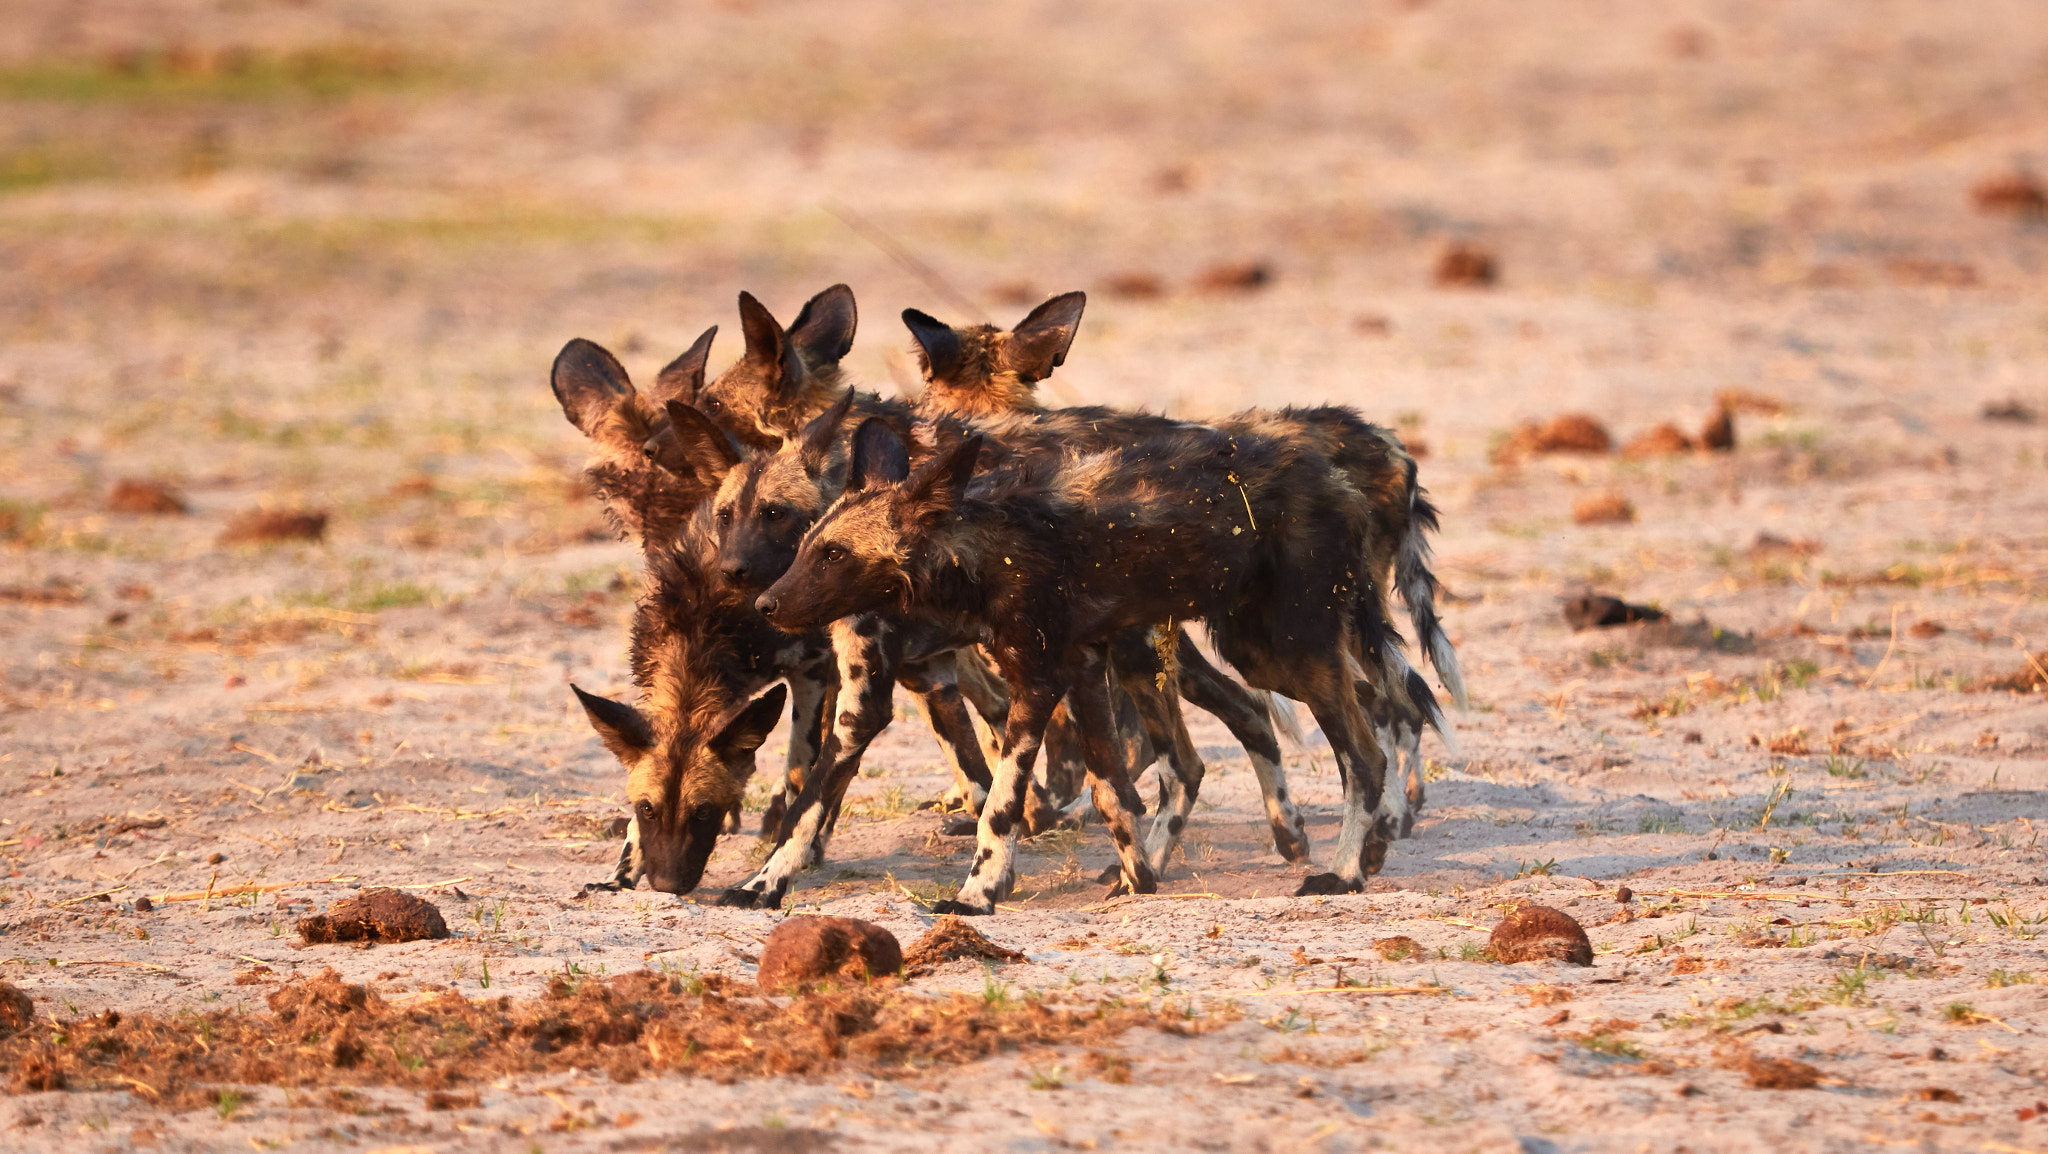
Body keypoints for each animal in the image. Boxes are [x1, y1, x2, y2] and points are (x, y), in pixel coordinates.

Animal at [761, 420, 1417, 918]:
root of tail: (1339, 479)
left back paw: (1345, 874)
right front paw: (1138, 879)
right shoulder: (1079, 670)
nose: (765, 604)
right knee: (1356, 714)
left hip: (1290, 651)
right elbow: (1111, 793)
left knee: (1366, 752)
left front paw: (977, 895)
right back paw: (1354, 846)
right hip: (1253, 654)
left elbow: (1001, 805)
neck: (983, 554)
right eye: (806, 546)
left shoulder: (1037, 684)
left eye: (835, 554)